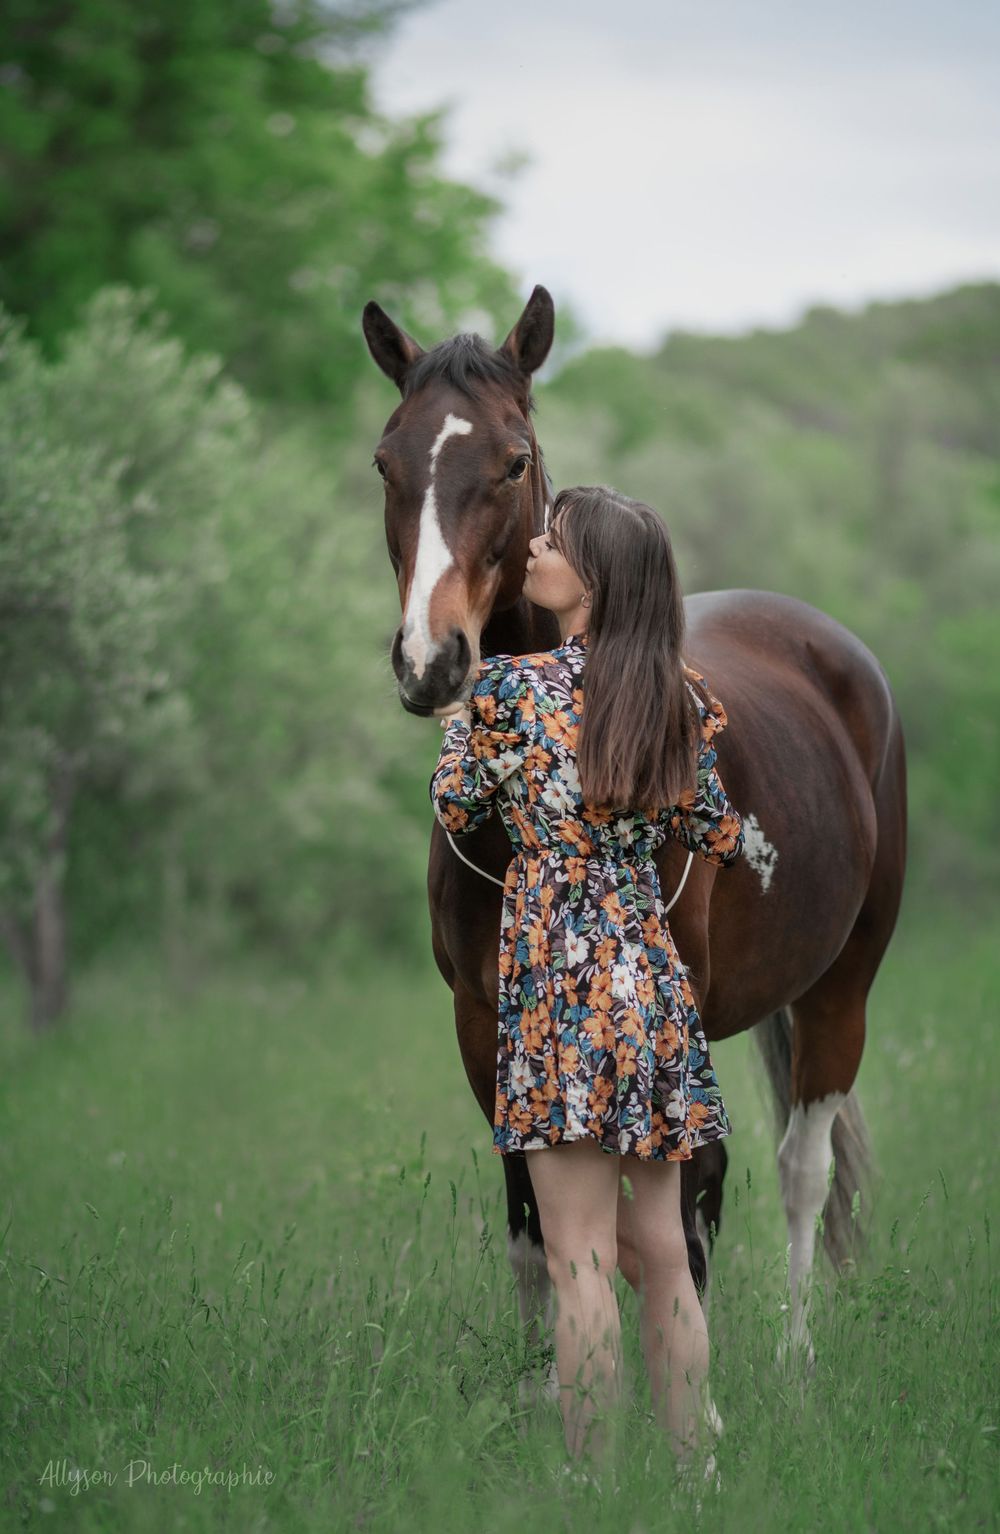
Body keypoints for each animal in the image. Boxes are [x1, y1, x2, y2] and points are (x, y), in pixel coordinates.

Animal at [361, 285, 907, 1373]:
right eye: (386, 463)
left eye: (514, 460)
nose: (430, 660)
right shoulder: (485, 1027)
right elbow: (535, 1217)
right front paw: (543, 1382)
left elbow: (682, 1206)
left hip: (843, 984)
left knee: (800, 1168)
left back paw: (795, 1361)